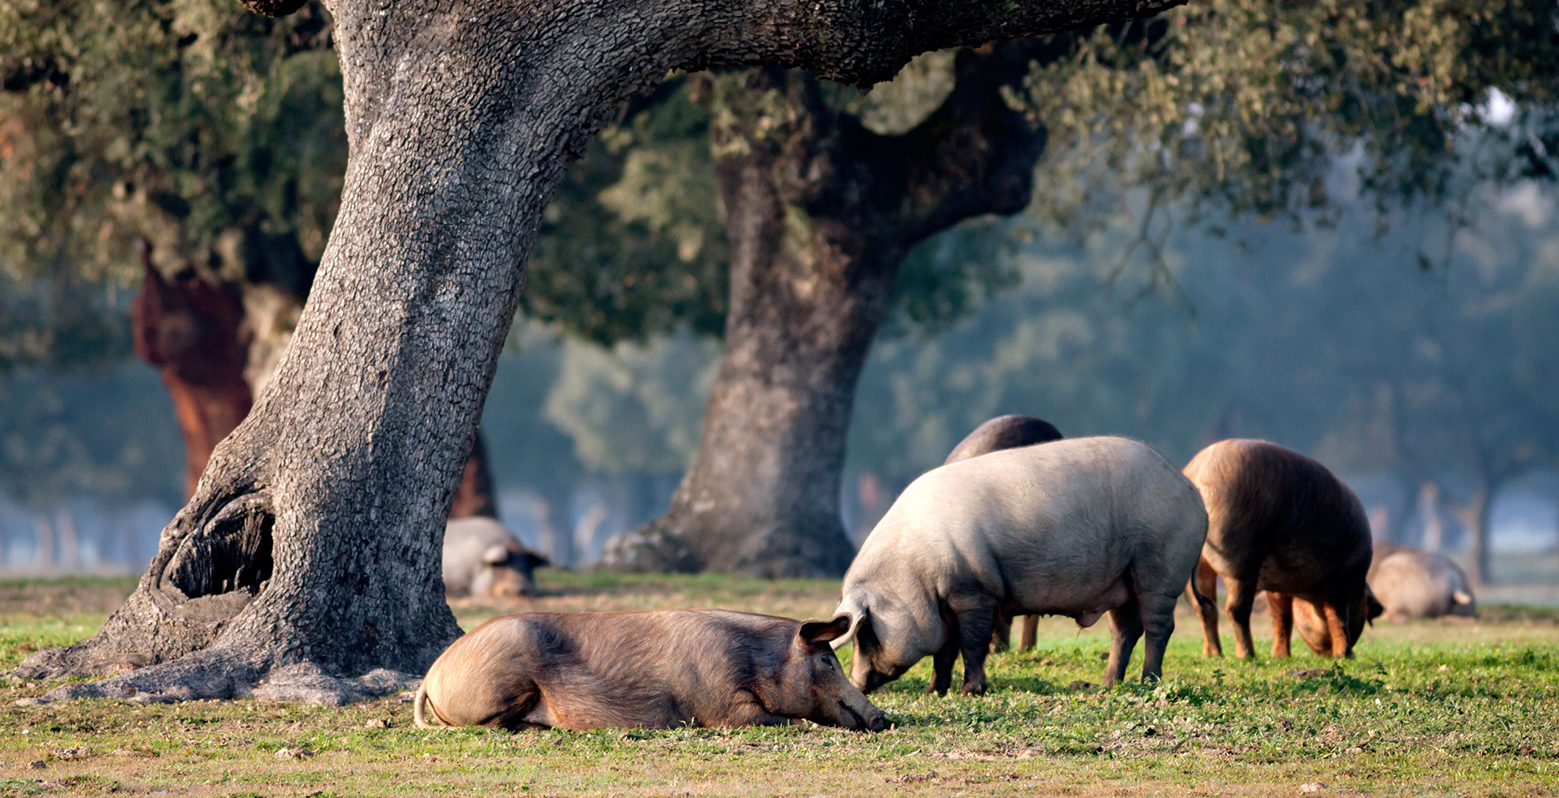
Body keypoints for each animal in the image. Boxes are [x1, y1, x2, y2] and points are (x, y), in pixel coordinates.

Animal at [414, 610, 889, 732]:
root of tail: (432, 674)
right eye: (827, 660)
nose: (884, 718)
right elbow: (777, 719)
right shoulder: (719, 704)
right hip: (501, 684)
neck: (757, 661)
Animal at [1183, 439, 1383, 660]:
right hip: (1240, 559)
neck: (1307, 593)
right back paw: (1248, 656)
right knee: (1235, 609)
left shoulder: (1278, 585)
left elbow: (1282, 617)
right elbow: (1338, 616)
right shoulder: (1345, 574)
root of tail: (1198, 475)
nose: (1327, 655)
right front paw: (1346, 656)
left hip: (1198, 564)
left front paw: (1280, 657)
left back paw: (1214, 655)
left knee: (1205, 607)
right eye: (1365, 609)